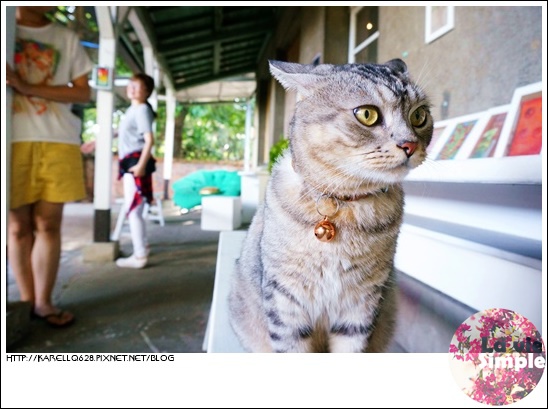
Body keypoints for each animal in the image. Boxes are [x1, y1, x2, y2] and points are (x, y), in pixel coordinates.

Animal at [227, 57, 432, 350]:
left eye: (419, 116)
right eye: (367, 114)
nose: (410, 145)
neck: (343, 202)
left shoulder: (362, 303)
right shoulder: (285, 301)